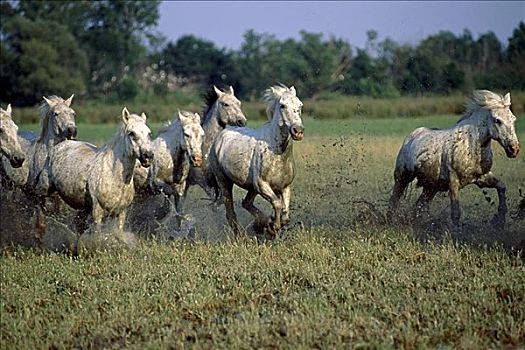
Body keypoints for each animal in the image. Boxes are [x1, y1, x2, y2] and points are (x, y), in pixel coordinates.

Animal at [208, 85, 302, 238]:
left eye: (300, 105)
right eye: (282, 105)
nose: (298, 130)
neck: (277, 153)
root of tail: (221, 135)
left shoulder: (285, 187)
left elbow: (286, 214)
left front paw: (269, 225)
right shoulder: (262, 186)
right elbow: (277, 204)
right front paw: (272, 228)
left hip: (251, 187)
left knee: (246, 203)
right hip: (224, 181)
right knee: (231, 213)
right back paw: (239, 236)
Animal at [386, 89, 516, 228]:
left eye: (513, 119)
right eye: (498, 120)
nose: (514, 149)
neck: (470, 145)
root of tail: (412, 136)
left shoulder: (481, 178)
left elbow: (501, 187)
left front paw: (499, 221)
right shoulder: (453, 182)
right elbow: (455, 213)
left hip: (431, 187)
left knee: (418, 207)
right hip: (403, 177)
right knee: (393, 202)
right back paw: (390, 223)